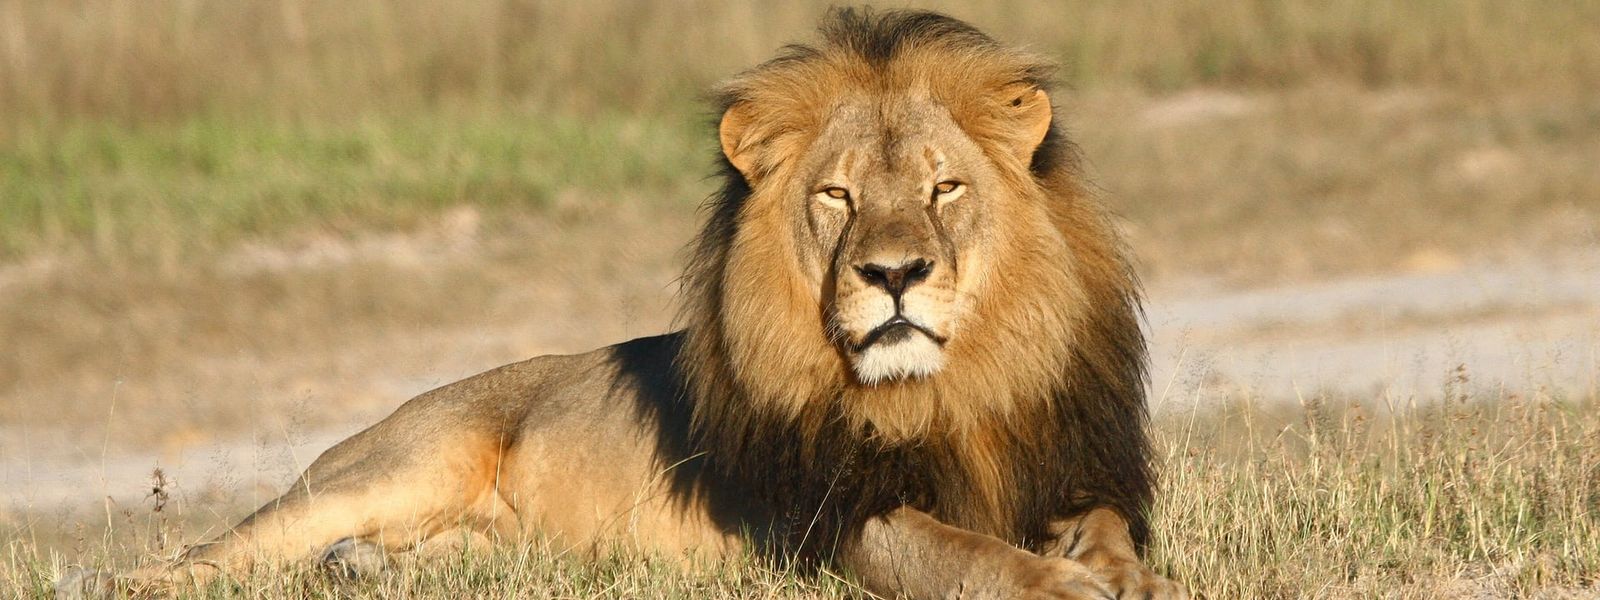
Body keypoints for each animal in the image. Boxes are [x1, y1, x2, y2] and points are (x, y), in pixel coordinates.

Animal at [57, 9, 1186, 600]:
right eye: (837, 197)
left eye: (945, 187)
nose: (895, 275)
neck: (950, 389)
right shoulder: (833, 519)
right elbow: (965, 555)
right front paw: (1067, 585)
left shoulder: (1069, 465)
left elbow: (1102, 527)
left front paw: (1120, 572)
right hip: (394, 464)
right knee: (209, 553)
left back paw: (364, 569)